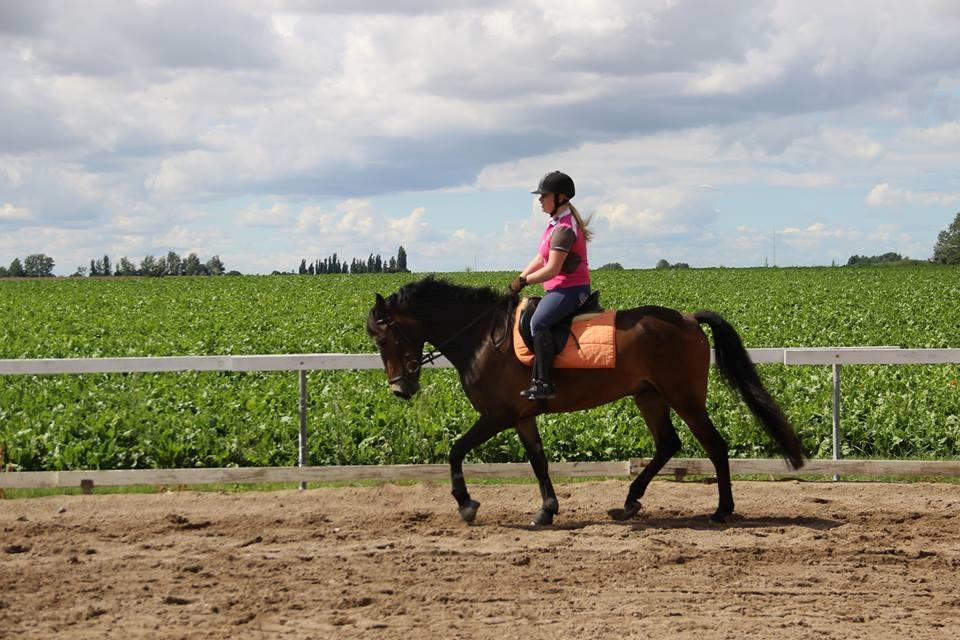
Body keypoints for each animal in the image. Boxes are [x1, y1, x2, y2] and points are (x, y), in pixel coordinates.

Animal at [368, 278, 804, 528]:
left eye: (384, 338)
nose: (400, 389)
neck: (481, 338)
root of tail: (688, 318)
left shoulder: (497, 415)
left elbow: (456, 450)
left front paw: (466, 505)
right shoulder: (522, 416)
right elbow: (539, 461)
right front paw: (547, 509)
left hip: (684, 396)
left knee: (714, 445)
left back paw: (721, 510)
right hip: (648, 395)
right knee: (668, 443)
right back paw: (629, 502)